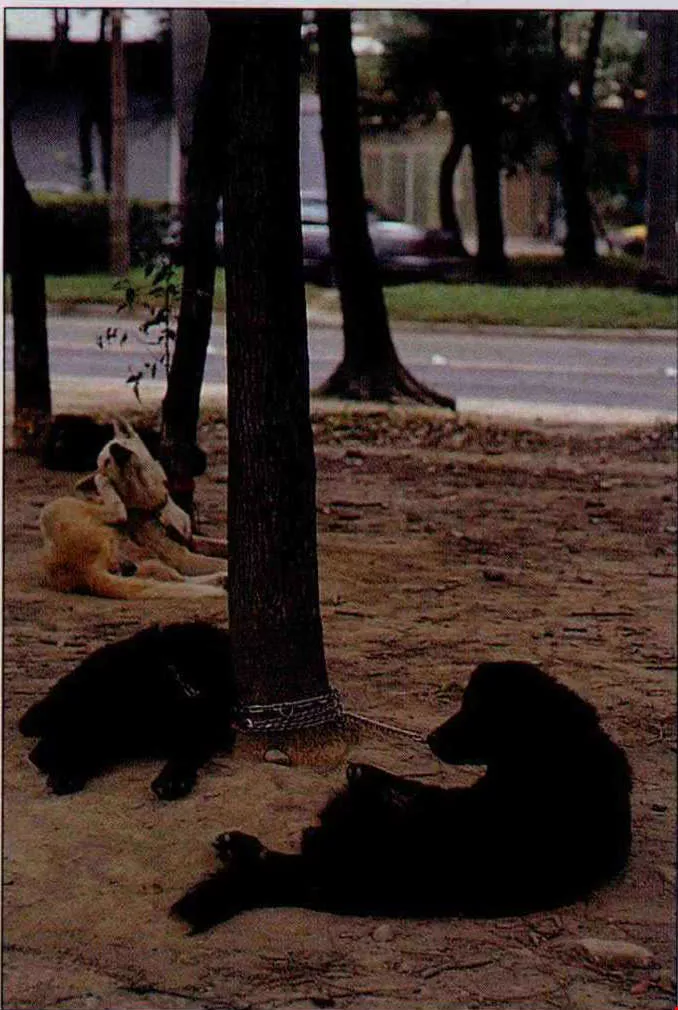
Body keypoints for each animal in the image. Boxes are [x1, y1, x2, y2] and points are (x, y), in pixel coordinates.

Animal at [39, 418, 227, 600]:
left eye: (122, 442)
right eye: (106, 461)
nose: (115, 449)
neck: (152, 506)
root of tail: (85, 574)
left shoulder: (190, 539)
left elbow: (219, 543)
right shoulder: (180, 557)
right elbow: (217, 561)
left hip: (145, 566)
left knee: (168, 579)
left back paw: (220, 580)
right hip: (55, 506)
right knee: (118, 513)